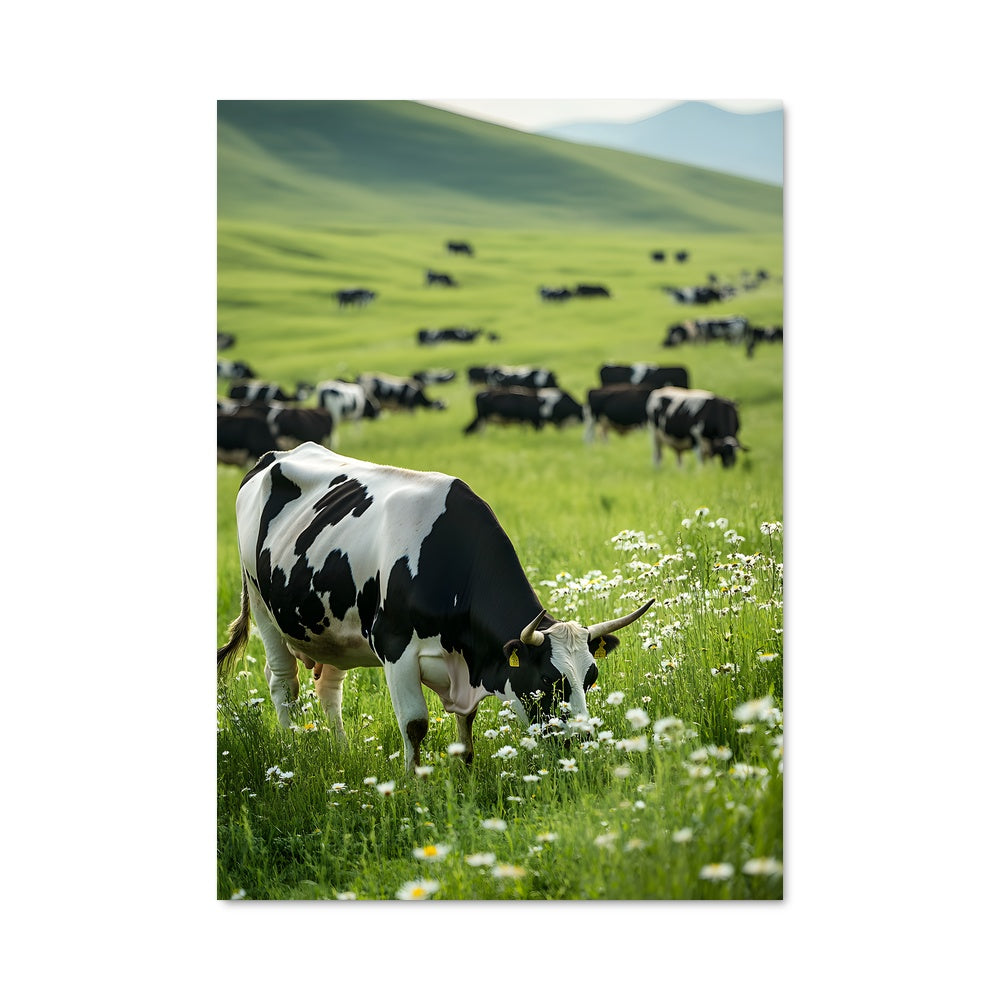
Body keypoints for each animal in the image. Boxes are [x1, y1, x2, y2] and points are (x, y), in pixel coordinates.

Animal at [216, 442, 655, 771]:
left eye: (591, 677)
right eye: (550, 679)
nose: (583, 739)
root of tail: (272, 455)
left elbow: (466, 726)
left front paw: (466, 774)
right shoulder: (394, 648)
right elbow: (415, 725)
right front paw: (415, 785)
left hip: (332, 631)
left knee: (328, 690)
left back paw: (341, 751)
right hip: (263, 608)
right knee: (282, 685)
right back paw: (290, 751)